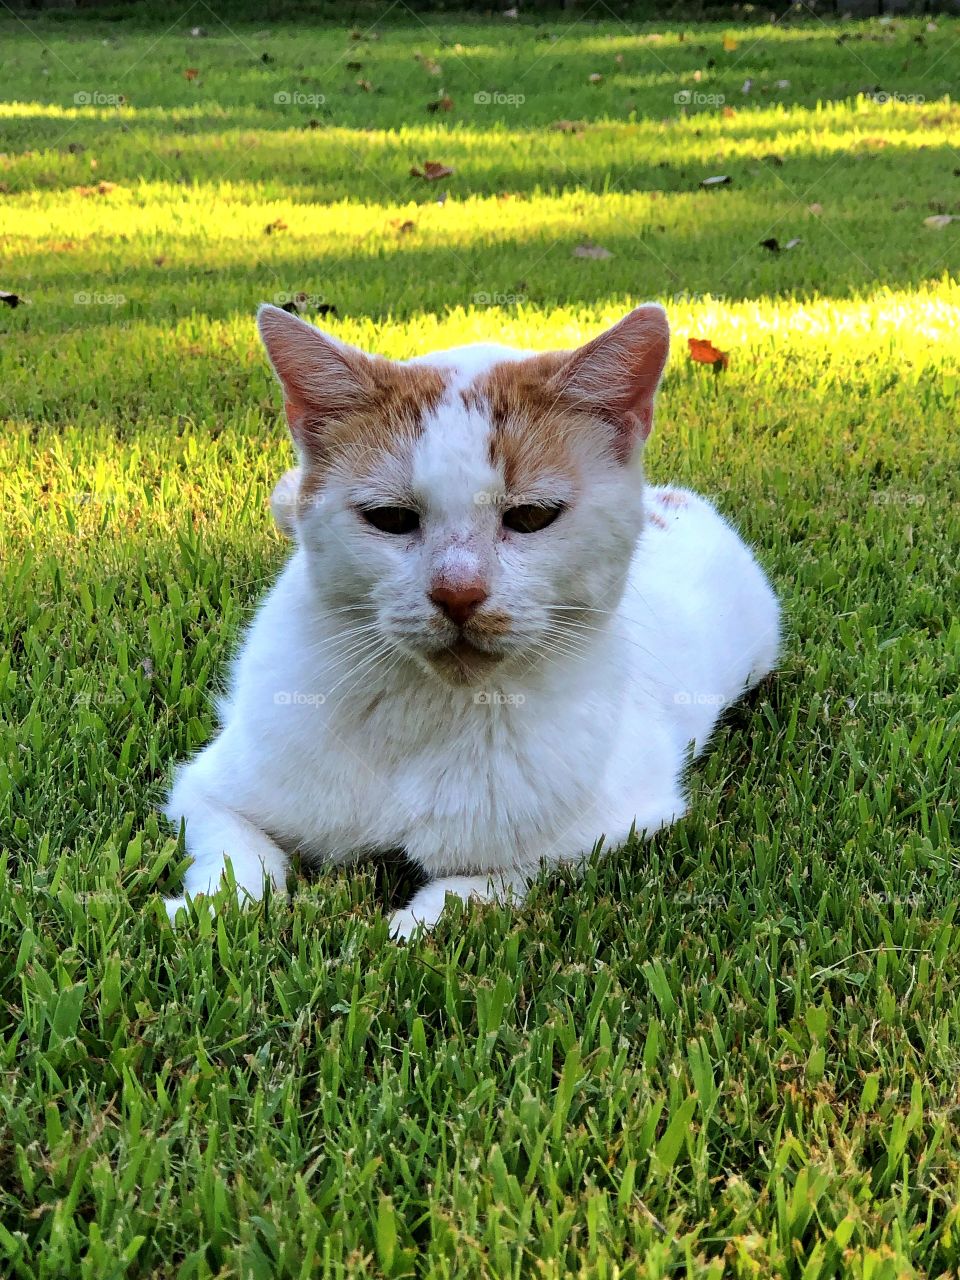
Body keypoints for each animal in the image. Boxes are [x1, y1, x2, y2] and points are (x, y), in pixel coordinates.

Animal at [165, 303, 783, 936]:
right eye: (389, 518)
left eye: (532, 516)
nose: (457, 593)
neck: (429, 712)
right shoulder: (207, 789)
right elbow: (240, 862)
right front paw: (205, 910)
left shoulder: (614, 827)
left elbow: (475, 888)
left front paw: (408, 927)